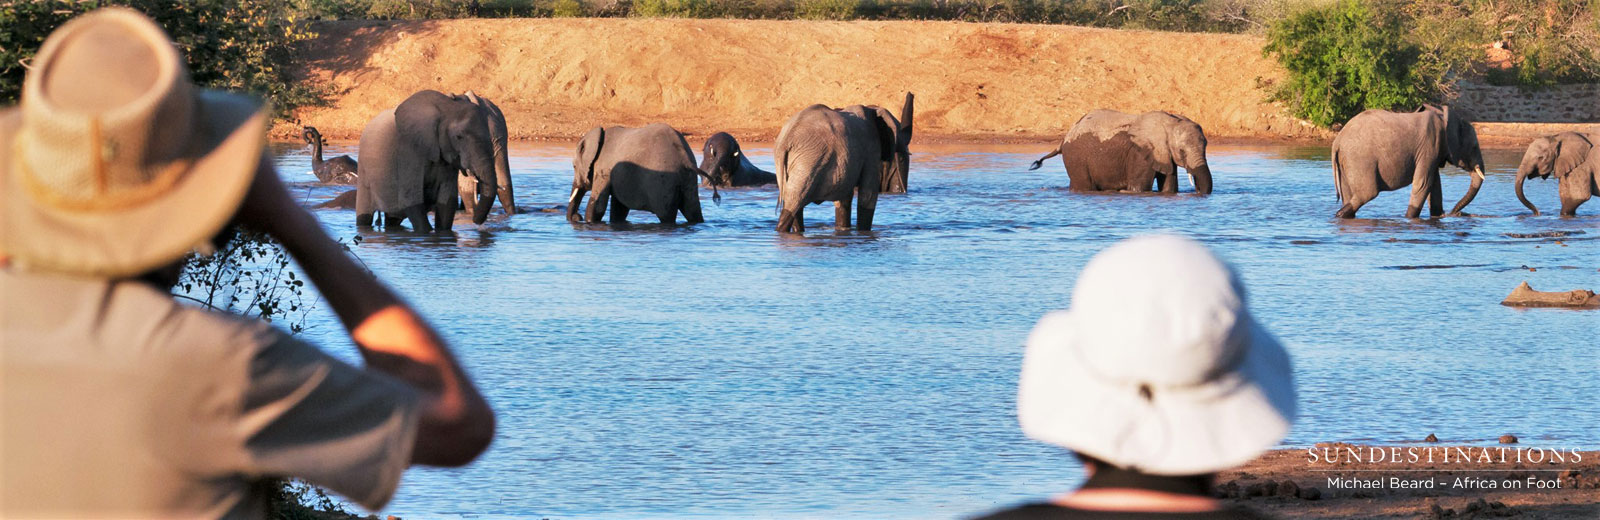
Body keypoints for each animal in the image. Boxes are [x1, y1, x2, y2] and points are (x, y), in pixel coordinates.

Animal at [354, 90, 498, 233]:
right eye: (459, 137)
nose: (475, 221)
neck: (447, 107)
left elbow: (447, 202)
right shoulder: (408, 150)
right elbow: (411, 199)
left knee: (393, 219)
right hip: (364, 175)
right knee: (364, 217)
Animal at [567, 123, 719, 225]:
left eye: (574, 166)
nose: (577, 217)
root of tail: (685, 160)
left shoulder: (604, 169)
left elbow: (598, 204)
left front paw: (589, 222)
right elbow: (619, 209)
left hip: (663, 183)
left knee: (666, 216)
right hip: (688, 180)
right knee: (693, 212)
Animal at [773, 99, 906, 233]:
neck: (872, 110)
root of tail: (786, 140)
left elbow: (843, 200)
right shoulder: (871, 150)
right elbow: (868, 195)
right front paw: (863, 233)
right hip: (810, 162)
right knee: (795, 201)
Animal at [1028, 109, 1213, 195]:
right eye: (1181, 151)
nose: (1197, 190)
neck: (1170, 121)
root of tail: (1064, 138)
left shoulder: (1163, 154)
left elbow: (1169, 186)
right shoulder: (1140, 154)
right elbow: (1140, 188)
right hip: (1076, 158)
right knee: (1085, 185)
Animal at [1331, 105, 1485, 219]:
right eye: (1474, 147)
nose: (1456, 213)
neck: (1444, 118)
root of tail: (1337, 142)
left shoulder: (1433, 153)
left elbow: (1435, 186)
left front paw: (1437, 216)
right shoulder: (1429, 146)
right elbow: (1423, 184)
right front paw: (1409, 218)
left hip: (1347, 162)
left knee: (1348, 196)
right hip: (1360, 161)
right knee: (1368, 193)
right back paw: (1339, 214)